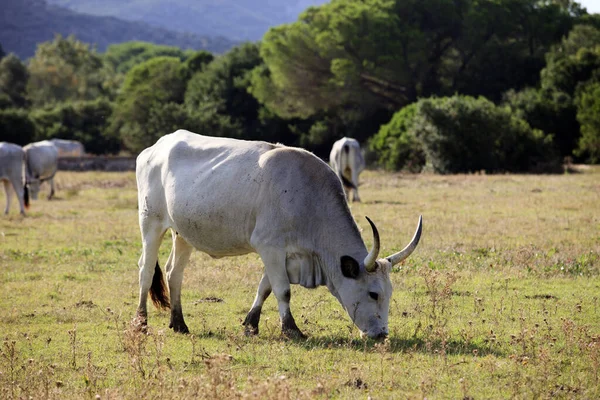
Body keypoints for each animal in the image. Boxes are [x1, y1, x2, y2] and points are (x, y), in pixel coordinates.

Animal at [135, 130, 422, 338]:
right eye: (374, 293)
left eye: (389, 293)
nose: (382, 334)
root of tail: (156, 147)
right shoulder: (269, 247)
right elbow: (283, 290)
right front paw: (291, 330)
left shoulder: (285, 255)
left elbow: (265, 287)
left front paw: (251, 324)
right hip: (151, 223)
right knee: (146, 271)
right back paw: (141, 322)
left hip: (182, 234)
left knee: (174, 273)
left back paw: (179, 323)